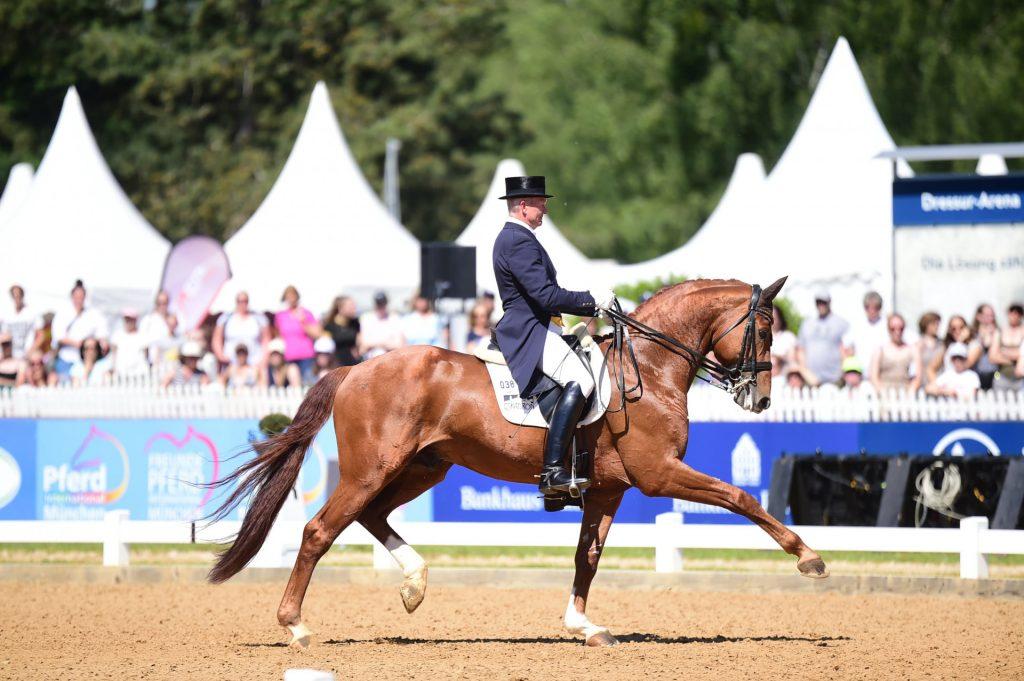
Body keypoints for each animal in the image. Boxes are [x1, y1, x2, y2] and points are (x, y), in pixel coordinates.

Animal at [206, 276, 828, 648]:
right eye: (765, 329)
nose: (760, 400)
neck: (649, 368)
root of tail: (353, 367)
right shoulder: (658, 476)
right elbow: (740, 496)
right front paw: (809, 557)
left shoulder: (608, 489)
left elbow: (587, 557)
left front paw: (583, 626)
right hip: (373, 469)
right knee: (319, 531)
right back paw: (296, 626)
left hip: (421, 468)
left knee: (370, 517)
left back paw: (414, 585)